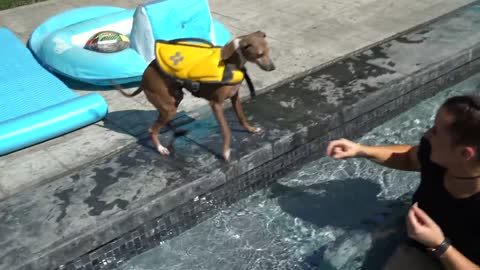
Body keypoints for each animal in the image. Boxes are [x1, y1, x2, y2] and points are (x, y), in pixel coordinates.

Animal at [113, 31, 274, 161]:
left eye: (268, 51)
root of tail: (143, 78)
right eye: (259, 54)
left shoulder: (235, 98)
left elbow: (241, 117)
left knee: (162, 121)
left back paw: (176, 132)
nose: (273, 68)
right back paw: (161, 149)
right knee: (152, 129)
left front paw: (251, 129)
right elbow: (226, 130)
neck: (230, 62)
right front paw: (226, 152)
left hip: (172, 101)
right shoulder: (216, 104)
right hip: (168, 105)